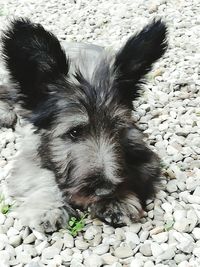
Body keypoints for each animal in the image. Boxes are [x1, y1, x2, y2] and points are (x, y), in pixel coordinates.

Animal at [0, 18, 167, 232]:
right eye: (74, 132)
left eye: (116, 129)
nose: (105, 191)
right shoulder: (30, 155)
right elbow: (41, 176)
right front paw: (49, 207)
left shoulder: (142, 152)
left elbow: (136, 173)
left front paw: (117, 200)